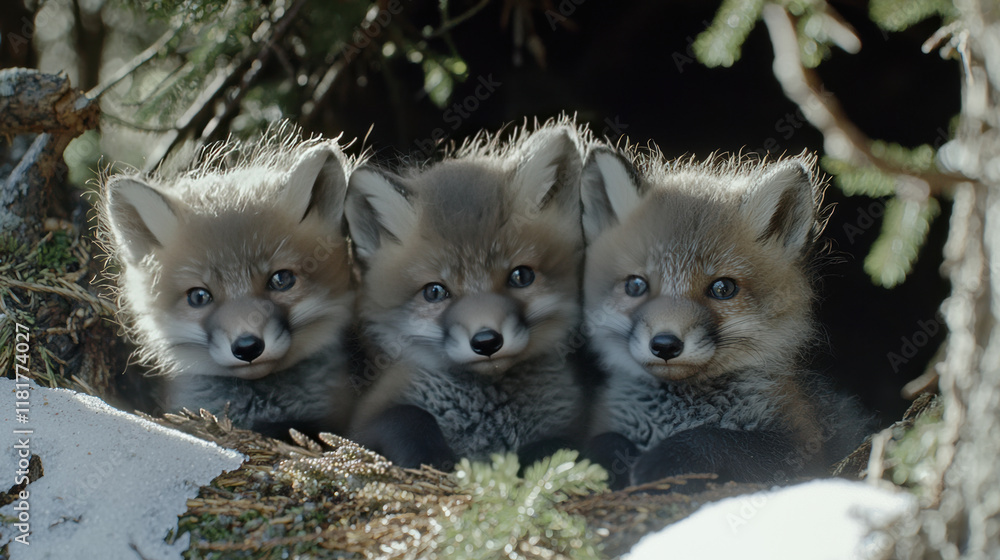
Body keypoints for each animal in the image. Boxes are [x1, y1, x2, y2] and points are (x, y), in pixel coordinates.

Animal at [344, 121, 588, 469]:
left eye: (521, 276)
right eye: (434, 292)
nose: (486, 342)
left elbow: (556, 447)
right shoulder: (358, 424)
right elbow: (407, 416)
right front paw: (432, 457)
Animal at [579, 145, 868, 488]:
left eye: (722, 288)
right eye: (636, 285)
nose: (665, 345)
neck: (679, 411)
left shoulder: (803, 446)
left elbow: (720, 439)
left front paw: (666, 459)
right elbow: (598, 443)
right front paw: (617, 460)